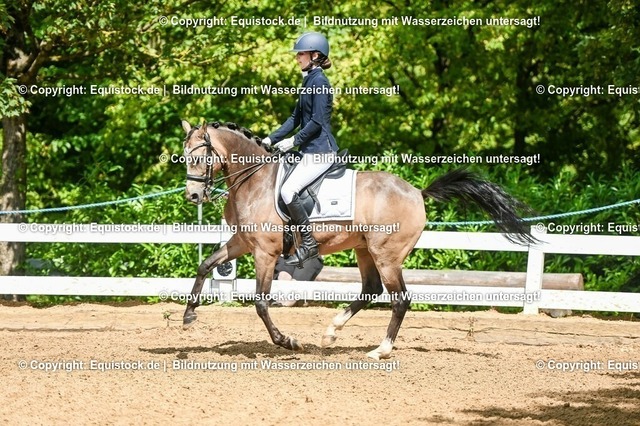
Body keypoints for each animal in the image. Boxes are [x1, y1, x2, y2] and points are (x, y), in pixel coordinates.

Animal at [180, 120, 535, 359]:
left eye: (199, 157)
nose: (193, 195)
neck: (255, 180)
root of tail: (416, 192)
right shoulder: (242, 242)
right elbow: (204, 265)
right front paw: (188, 316)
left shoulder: (265, 252)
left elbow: (261, 302)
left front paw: (287, 341)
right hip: (365, 250)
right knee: (370, 290)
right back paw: (331, 332)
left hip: (386, 254)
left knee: (399, 299)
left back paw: (381, 350)